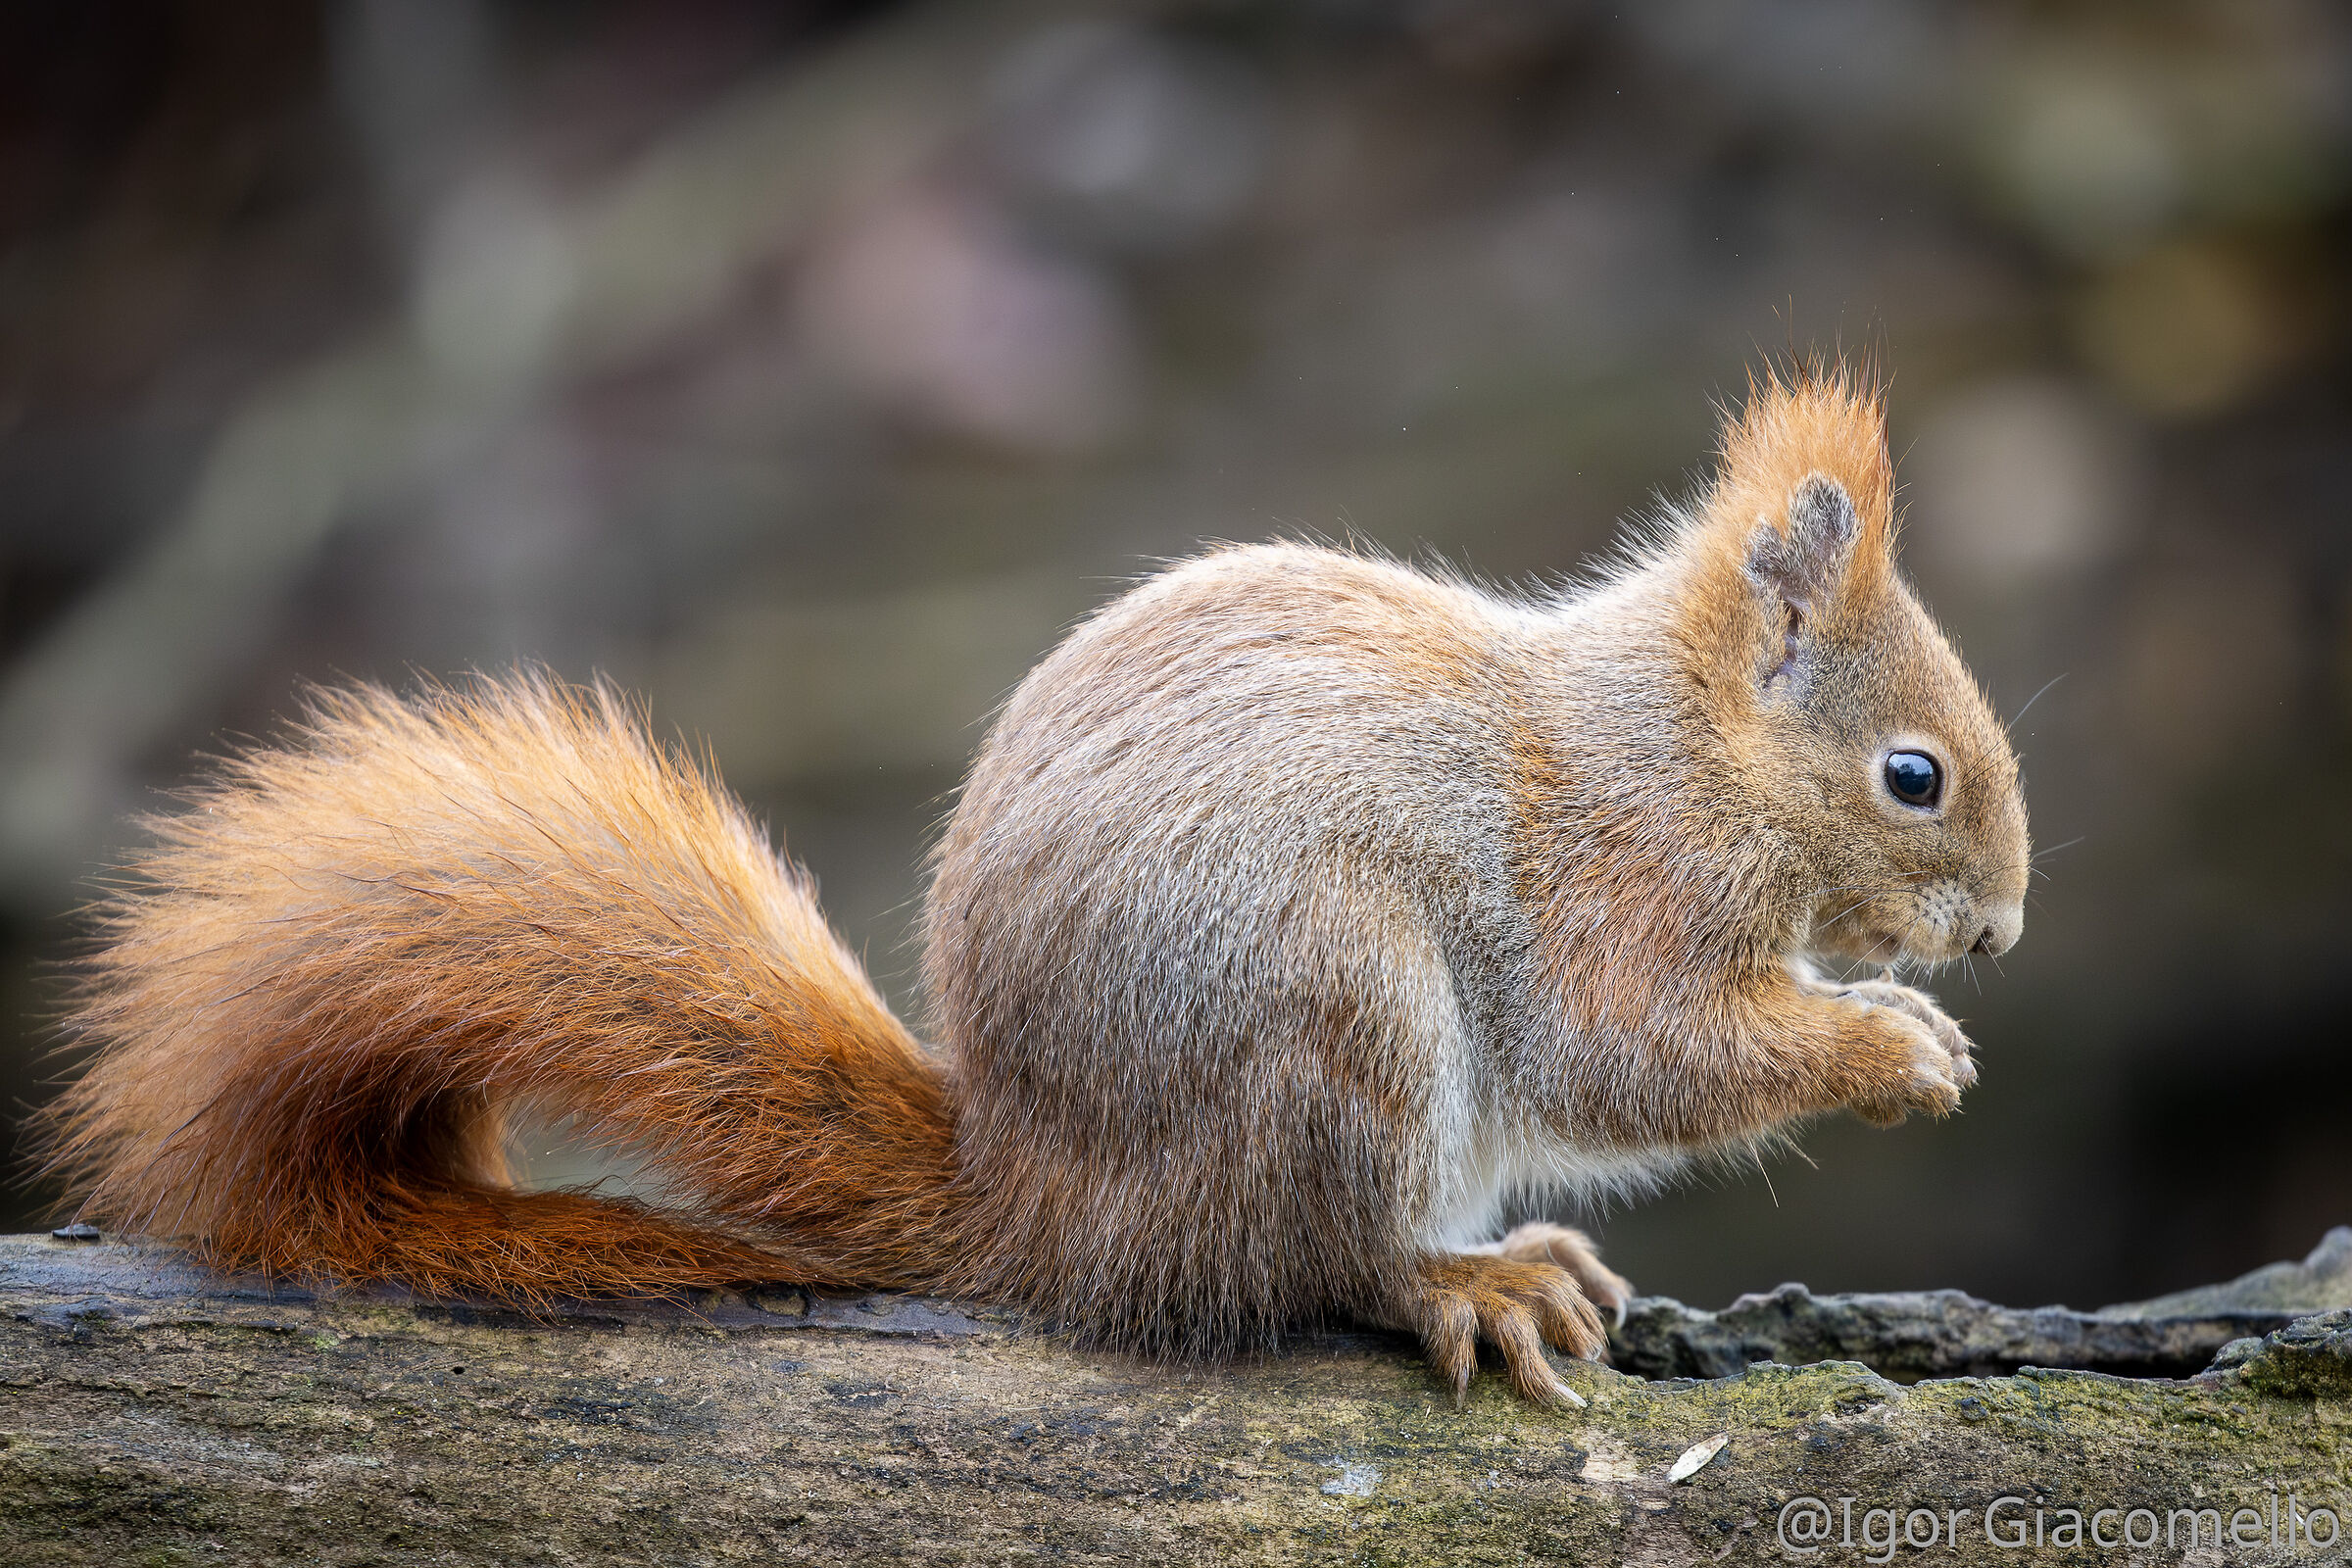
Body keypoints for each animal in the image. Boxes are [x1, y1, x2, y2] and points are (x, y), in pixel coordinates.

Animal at [38, 365, 2028, 1407]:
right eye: (1912, 775)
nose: (2002, 931)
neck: (1685, 748)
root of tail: (1045, 1209)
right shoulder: (1616, 893)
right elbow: (1641, 1058)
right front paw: (1896, 1047)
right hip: (1341, 1021)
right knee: (1319, 1262)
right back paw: (1466, 1281)